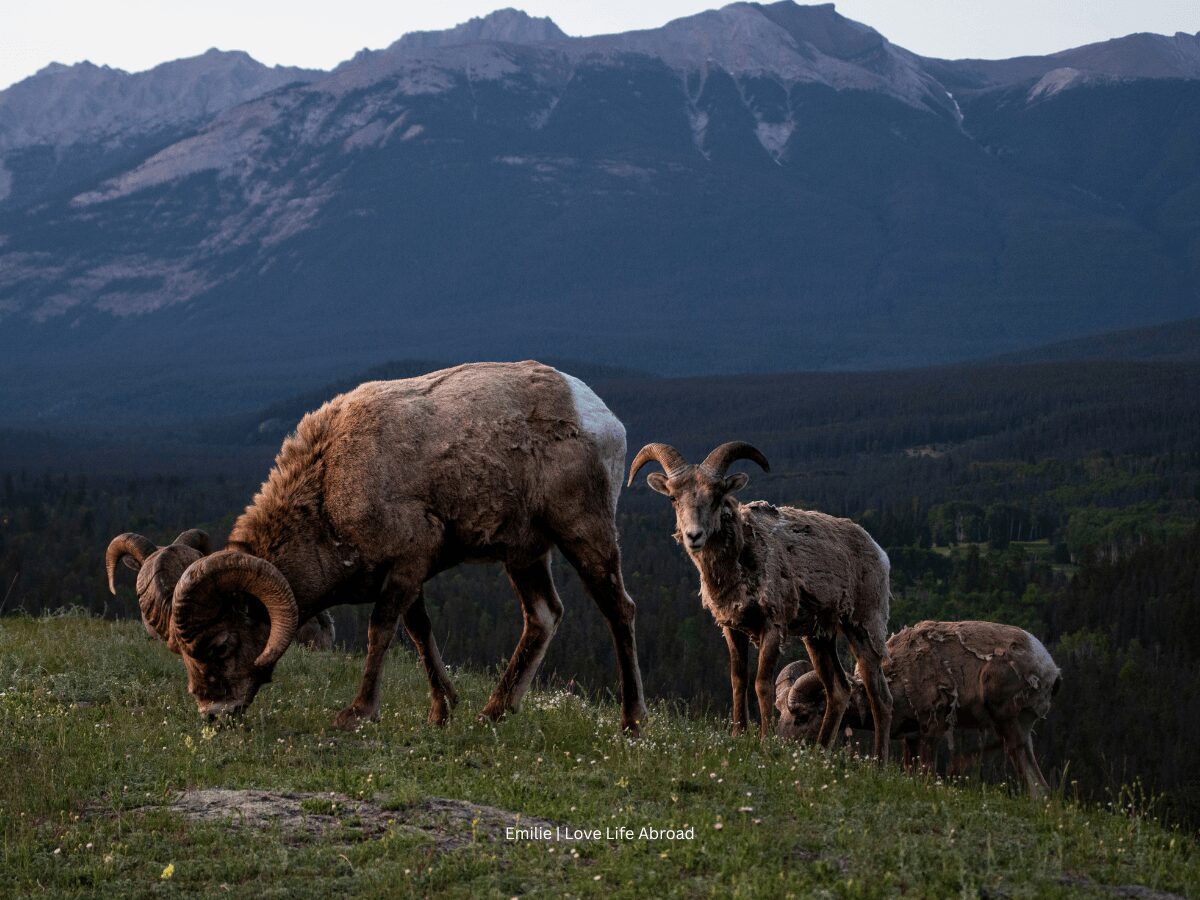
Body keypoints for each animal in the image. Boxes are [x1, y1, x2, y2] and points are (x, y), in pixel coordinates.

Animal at [628, 444, 892, 763]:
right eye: (673, 497)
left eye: (716, 496)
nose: (694, 536)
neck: (743, 560)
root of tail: (879, 553)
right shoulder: (732, 629)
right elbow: (738, 680)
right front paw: (737, 735)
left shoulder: (772, 628)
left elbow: (761, 684)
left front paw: (766, 742)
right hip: (819, 637)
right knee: (839, 690)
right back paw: (819, 751)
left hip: (863, 628)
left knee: (880, 697)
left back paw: (879, 763)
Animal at [777, 619, 1060, 796]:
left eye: (802, 717)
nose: (780, 746)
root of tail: (1051, 670)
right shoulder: (910, 739)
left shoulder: (931, 730)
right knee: (1039, 790)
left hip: (1007, 722)